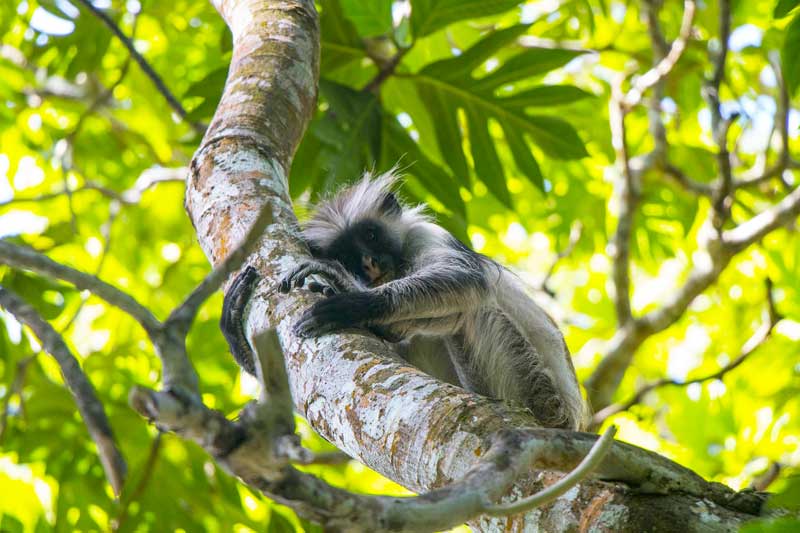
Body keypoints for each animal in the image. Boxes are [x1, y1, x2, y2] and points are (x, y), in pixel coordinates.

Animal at [222, 172, 584, 430]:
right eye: (348, 254)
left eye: (370, 235)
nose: (368, 264)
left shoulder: (426, 236)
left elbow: (466, 280)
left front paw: (351, 301)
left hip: (538, 392)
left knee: (472, 306)